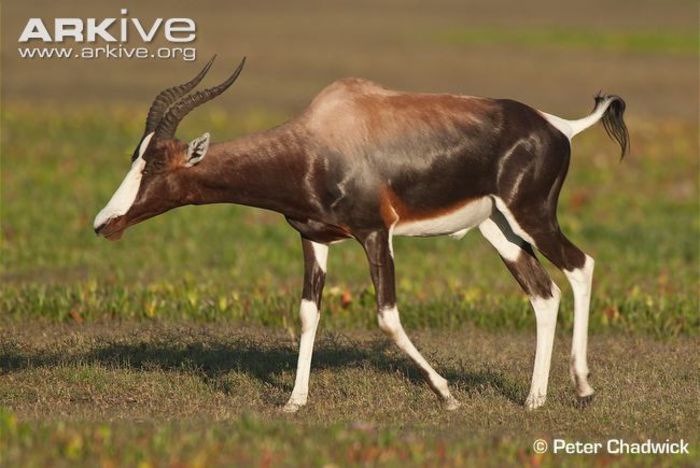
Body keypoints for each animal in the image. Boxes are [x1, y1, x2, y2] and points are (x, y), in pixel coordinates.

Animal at [91, 56, 628, 412]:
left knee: (580, 266)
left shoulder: (375, 234)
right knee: (544, 293)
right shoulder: (315, 240)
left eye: (155, 164)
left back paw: (583, 387)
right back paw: (535, 399)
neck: (322, 139)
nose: (103, 223)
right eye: (134, 156)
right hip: (499, 231)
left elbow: (387, 317)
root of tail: (558, 126)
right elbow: (308, 315)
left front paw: (447, 394)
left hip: (532, 216)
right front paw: (295, 401)